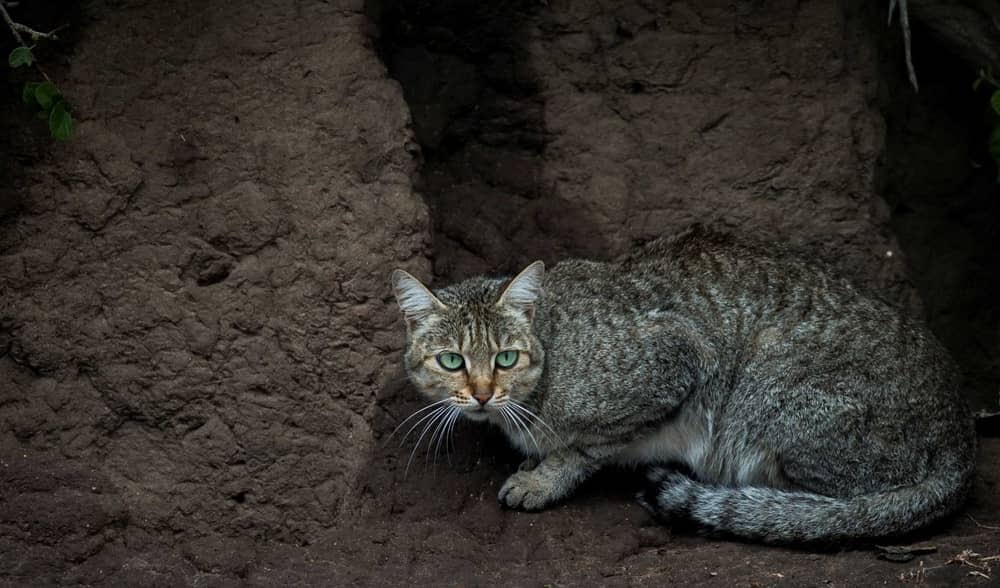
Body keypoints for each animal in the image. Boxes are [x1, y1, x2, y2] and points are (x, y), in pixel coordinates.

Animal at [390, 227, 976, 544]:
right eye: (451, 361)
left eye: (506, 358)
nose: (483, 393)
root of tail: (960, 436)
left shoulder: (680, 360)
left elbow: (584, 447)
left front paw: (543, 479)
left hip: (773, 393)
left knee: (847, 505)